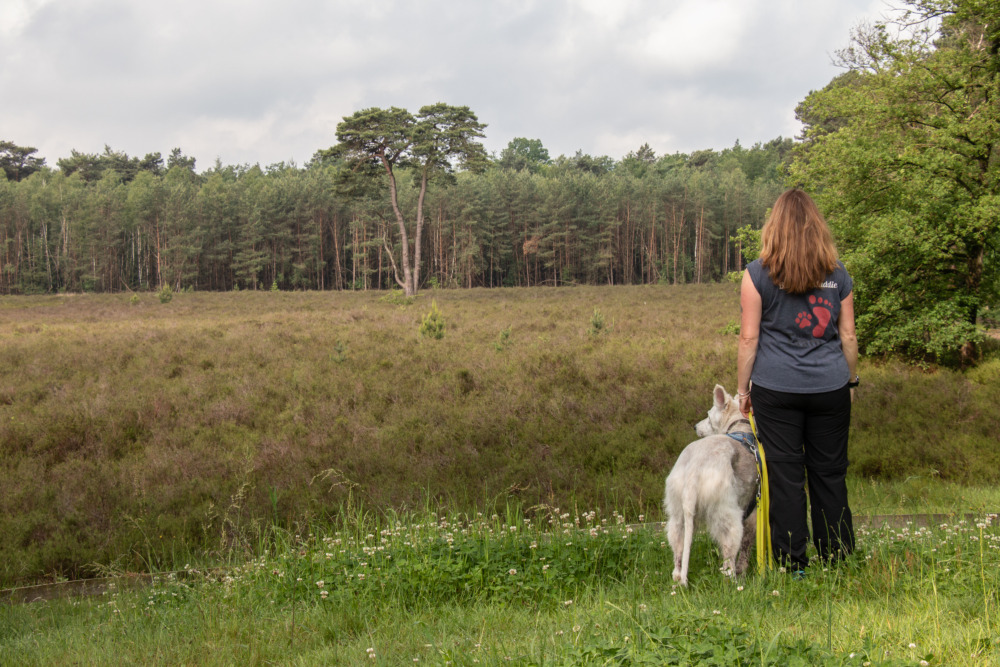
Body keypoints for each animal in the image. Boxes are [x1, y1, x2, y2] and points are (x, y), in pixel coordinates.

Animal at [664, 386, 756, 584]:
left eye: (707, 415)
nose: (695, 427)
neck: (741, 428)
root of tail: (695, 470)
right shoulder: (752, 514)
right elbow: (745, 549)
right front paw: (743, 573)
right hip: (729, 518)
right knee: (729, 559)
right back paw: (734, 583)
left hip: (677, 516)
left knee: (678, 554)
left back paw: (678, 576)